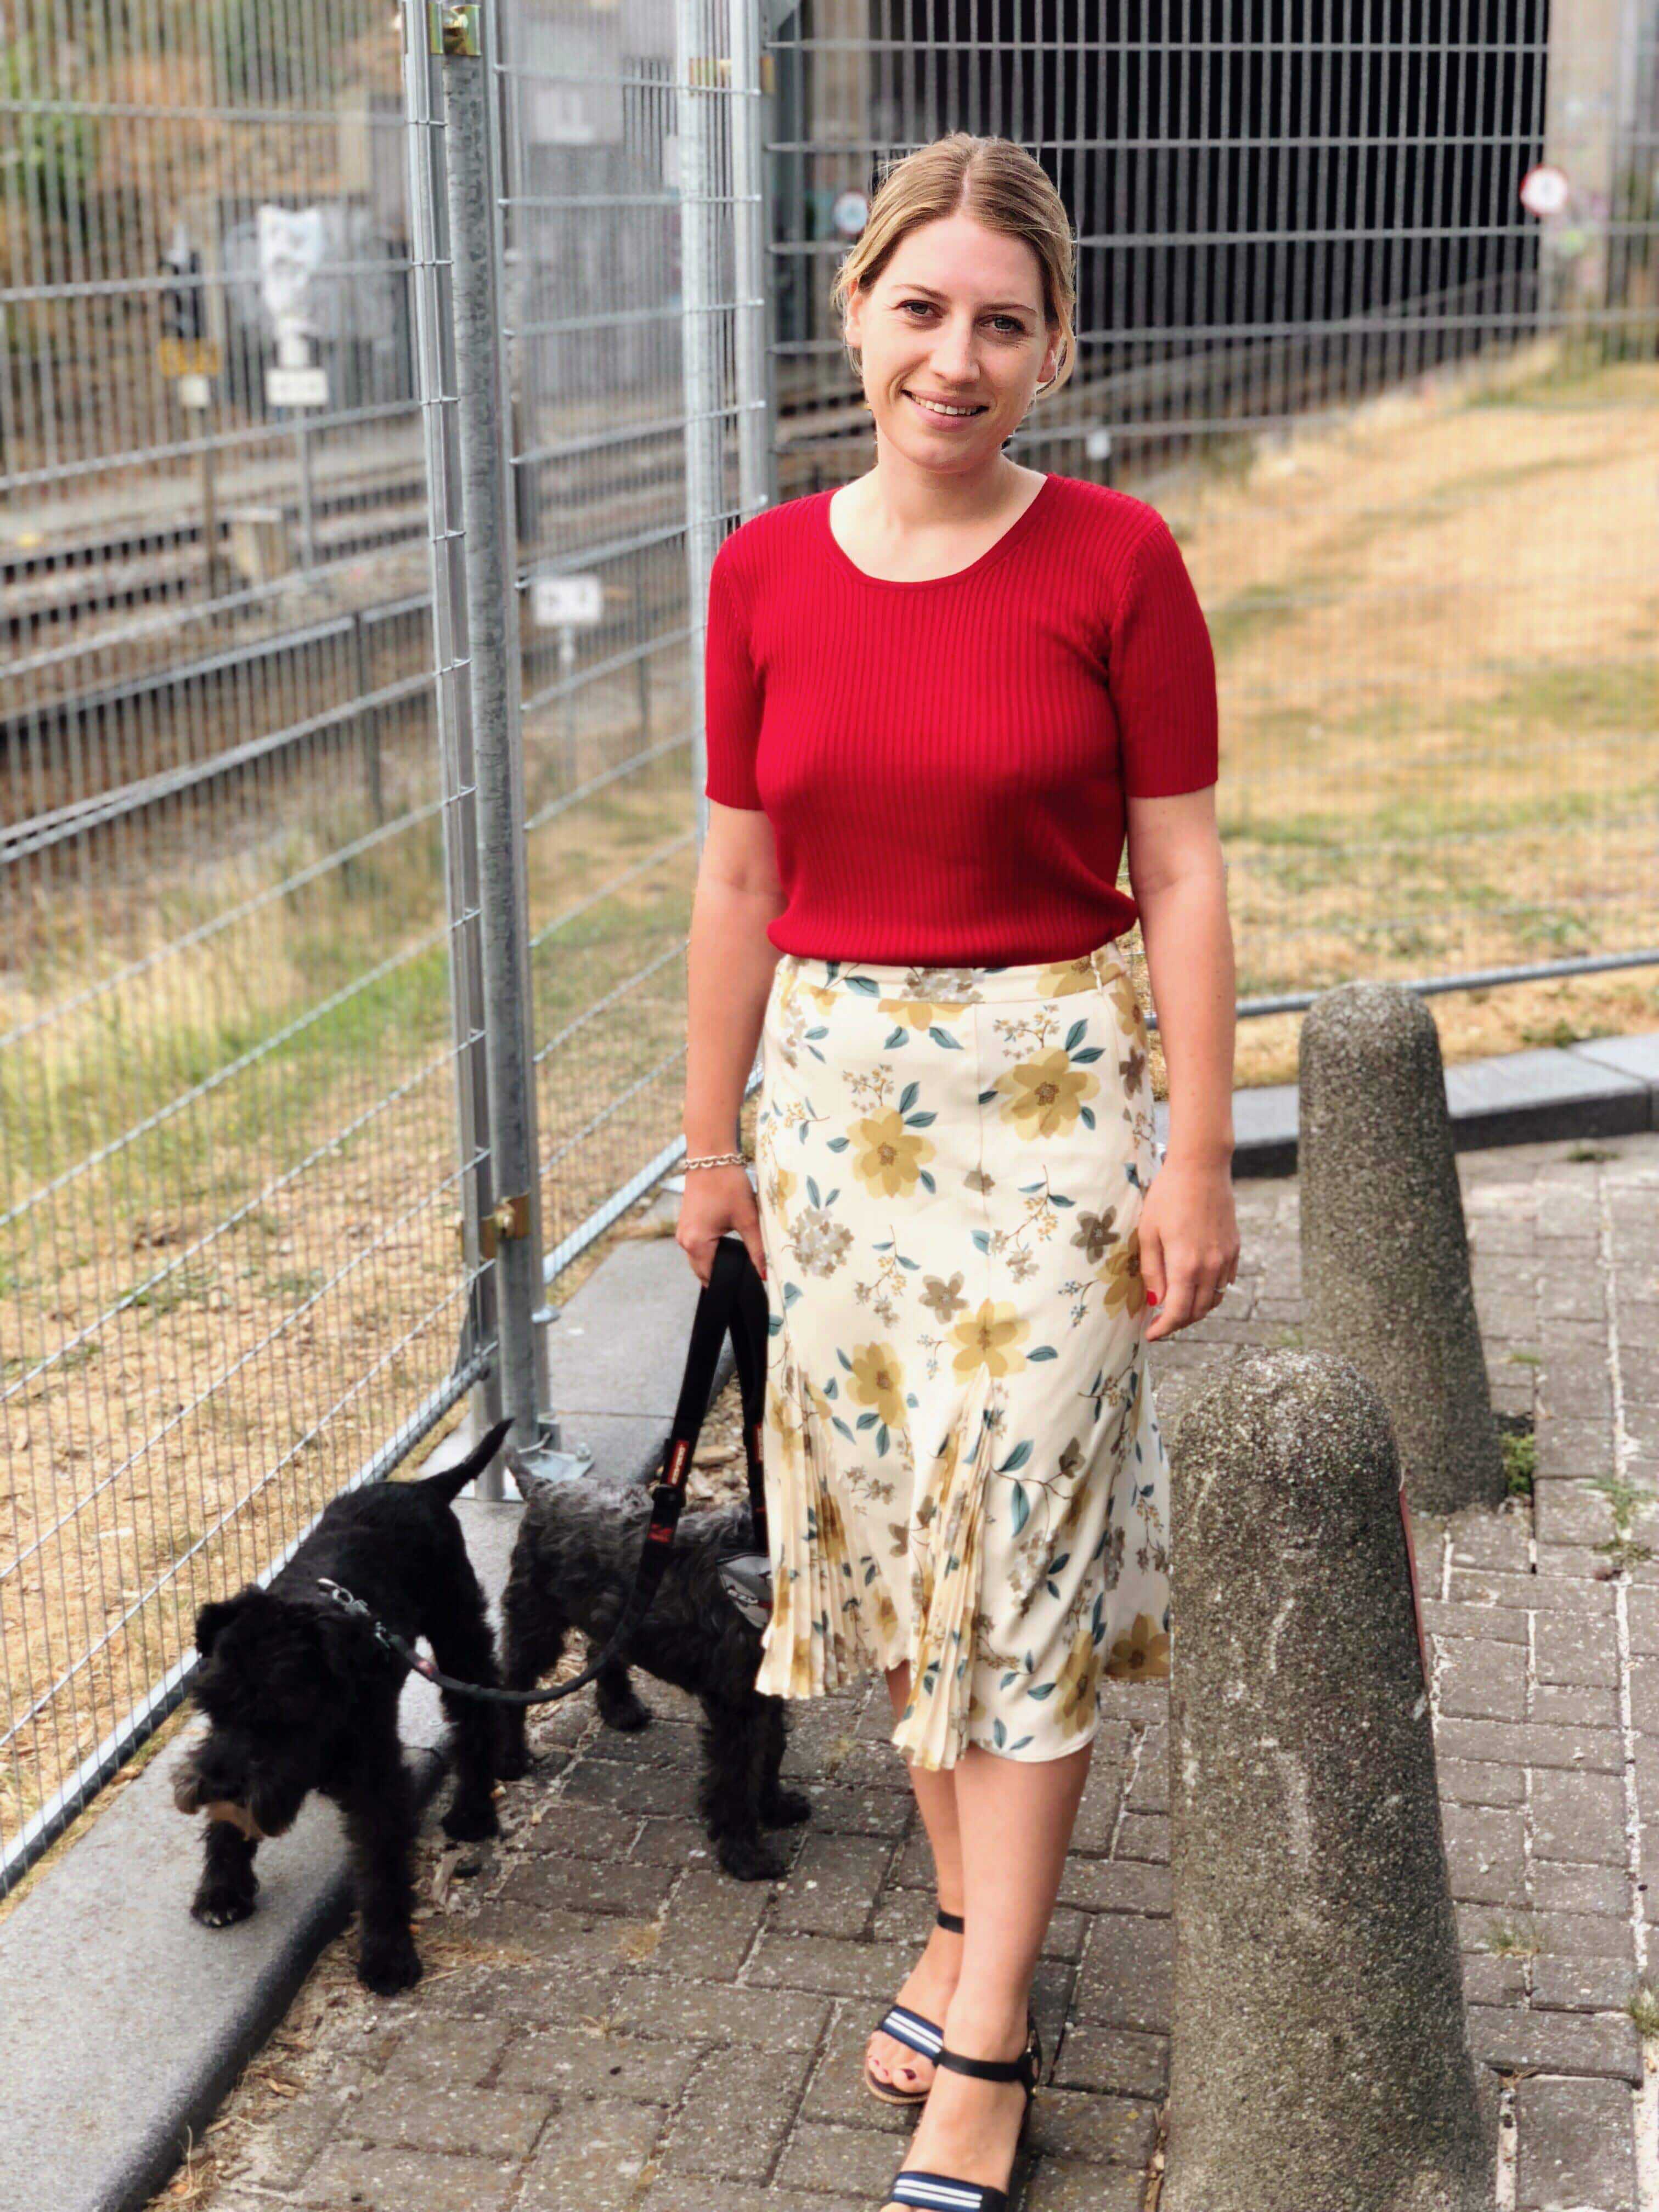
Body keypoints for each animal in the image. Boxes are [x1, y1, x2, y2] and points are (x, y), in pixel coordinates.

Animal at [172, 1415, 513, 2008]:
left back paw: (473, 1811)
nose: (219, 1787)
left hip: (458, 1630)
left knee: (475, 1712)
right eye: (210, 1702)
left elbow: (379, 1864)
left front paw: (387, 1956)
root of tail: (422, 1488)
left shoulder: (376, 1784)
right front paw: (222, 1889)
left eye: (282, 1712)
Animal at [504, 1477, 814, 1876]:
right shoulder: (737, 1702)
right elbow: (737, 1773)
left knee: (601, 1649)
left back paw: (620, 1708)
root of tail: (544, 1487)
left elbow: (772, 1748)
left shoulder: (763, 1692)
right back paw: (510, 1759)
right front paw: (744, 1853)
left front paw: (775, 1807)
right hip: (536, 1622)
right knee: (512, 1684)